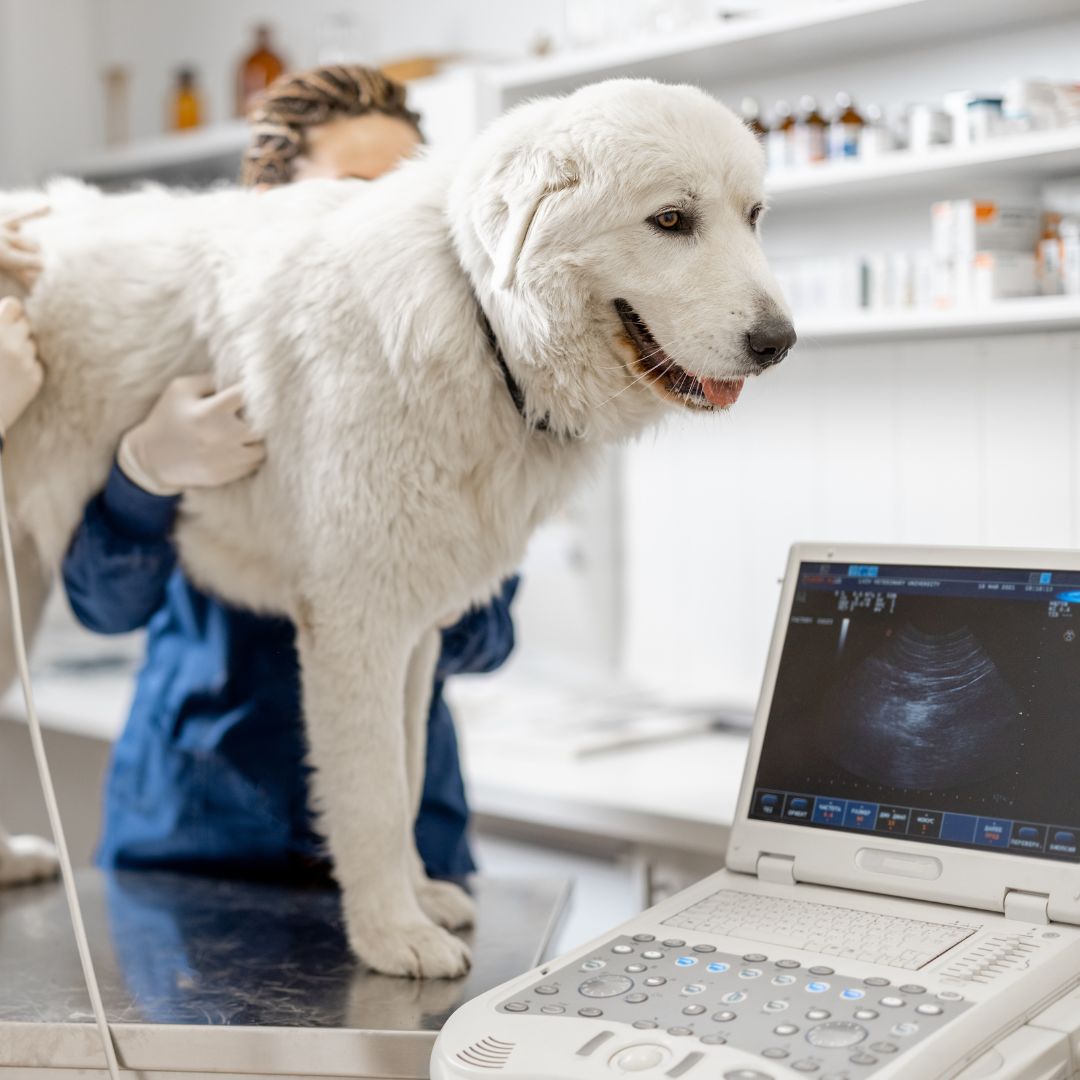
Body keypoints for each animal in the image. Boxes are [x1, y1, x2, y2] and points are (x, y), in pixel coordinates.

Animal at [0, 79, 794, 980]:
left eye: (753, 216)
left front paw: (418, 896)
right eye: (671, 220)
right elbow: (373, 793)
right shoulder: (357, 626)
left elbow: (409, 772)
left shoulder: (414, 634)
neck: (481, 320)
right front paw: (390, 934)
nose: (780, 342)